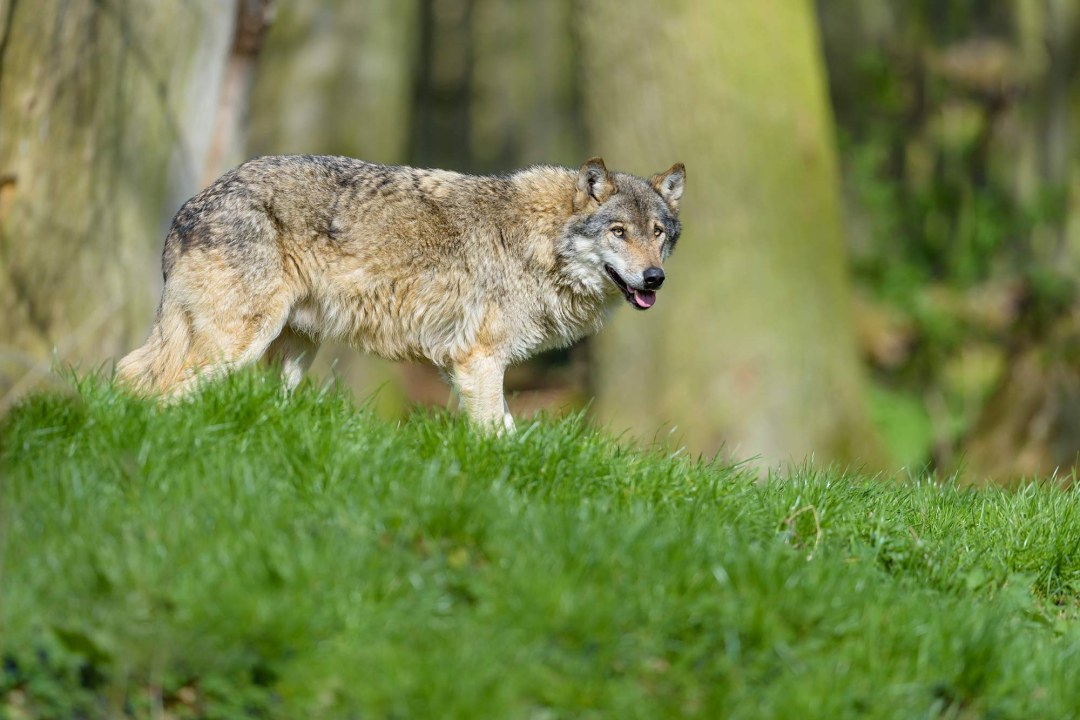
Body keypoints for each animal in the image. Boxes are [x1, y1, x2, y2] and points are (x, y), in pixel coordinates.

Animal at [117, 155, 685, 430]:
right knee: (156, 389)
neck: (539, 243)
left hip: (290, 356)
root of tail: (191, 205)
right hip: (238, 346)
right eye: (618, 232)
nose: (654, 278)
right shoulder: (479, 361)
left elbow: (507, 431)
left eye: (657, 232)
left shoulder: (469, 366)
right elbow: (494, 436)